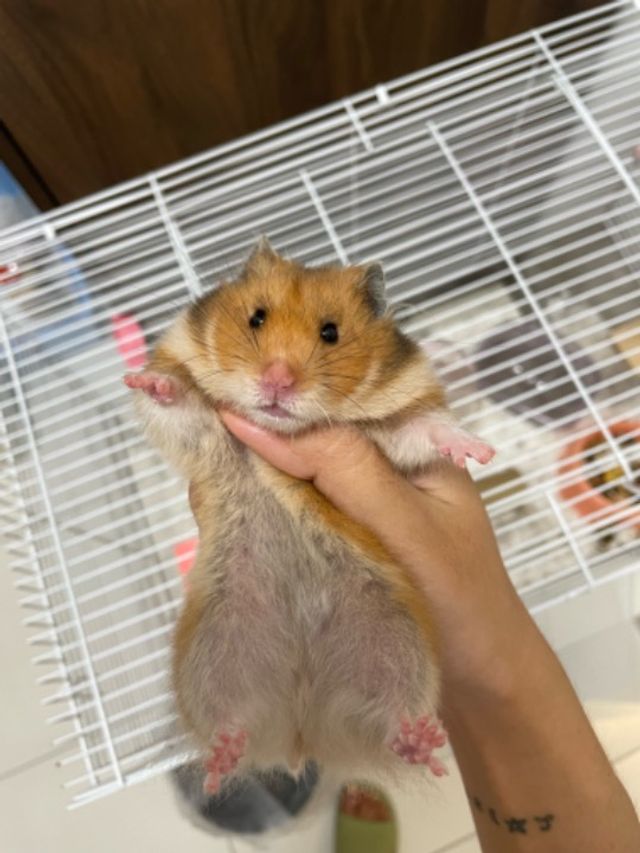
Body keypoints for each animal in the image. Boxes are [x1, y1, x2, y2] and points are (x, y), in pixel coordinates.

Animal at [124, 238, 494, 793]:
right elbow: (180, 400)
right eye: (256, 318)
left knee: (390, 719)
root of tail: (302, 729)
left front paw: (480, 453)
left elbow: (426, 430)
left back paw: (421, 742)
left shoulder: (396, 424)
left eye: (330, 332)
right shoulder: (200, 430)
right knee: (232, 723)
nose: (277, 381)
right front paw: (142, 379)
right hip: (213, 653)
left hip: (396, 641)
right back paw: (219, 766)